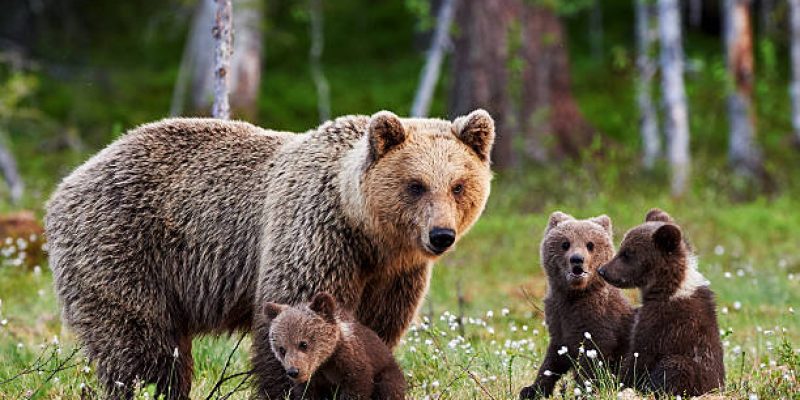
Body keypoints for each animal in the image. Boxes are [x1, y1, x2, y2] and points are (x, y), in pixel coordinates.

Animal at [266, 290, 406, 400]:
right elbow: (306, 392)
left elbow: (357, 386)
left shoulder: (352, 363)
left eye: (303, 344)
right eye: (282, 349)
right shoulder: (313, 381)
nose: (293, 371)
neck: (325, 362)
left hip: (387, 370)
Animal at [520, 211, 636, 398]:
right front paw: (532, 389)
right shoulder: (558, 319)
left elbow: (592, 361)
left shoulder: (599, 323)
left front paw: (582, 390)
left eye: (590, 244)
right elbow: (554, 358)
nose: (577, 259)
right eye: (565, 243)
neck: (575, 295)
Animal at [600, 209, 724, 396]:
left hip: (688, 367)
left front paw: (617, 381)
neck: (668, 289)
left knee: (676, 366)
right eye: (622, 247)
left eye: (627, 253)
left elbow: (640, 355)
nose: (602, 270)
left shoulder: (664, 324)